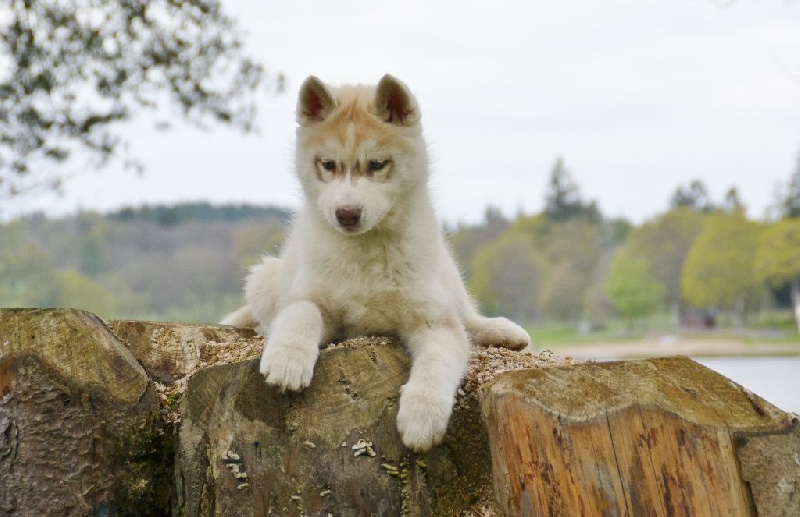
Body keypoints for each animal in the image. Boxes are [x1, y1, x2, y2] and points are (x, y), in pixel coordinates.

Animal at [222, 74, 531, 451]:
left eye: (377, 165)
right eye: (328, 165)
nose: (346, 214)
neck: (365, 253)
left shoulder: (434, 321)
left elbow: (438, 363)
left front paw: (422, 415)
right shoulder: (317, 306)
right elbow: (301, 314)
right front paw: (288, 359)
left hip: (447, 279)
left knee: (467, 318)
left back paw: (501, 330)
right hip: (264, 278)